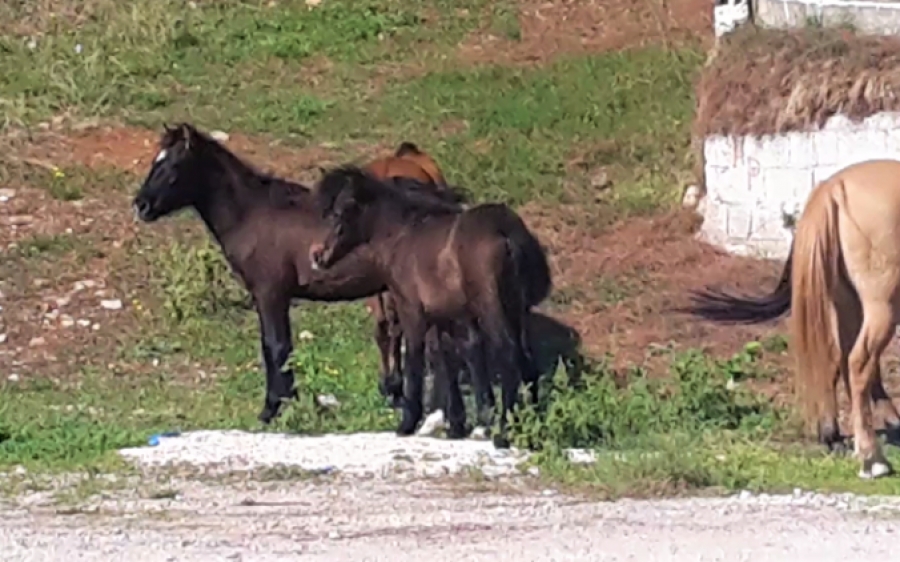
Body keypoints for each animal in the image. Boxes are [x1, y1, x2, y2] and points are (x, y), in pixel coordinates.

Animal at [684, 160, 900, 480]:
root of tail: (833, 187)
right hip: (880, 305)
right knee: (859, 363)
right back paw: (872, 458)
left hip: (849, 302)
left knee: (840, 359)